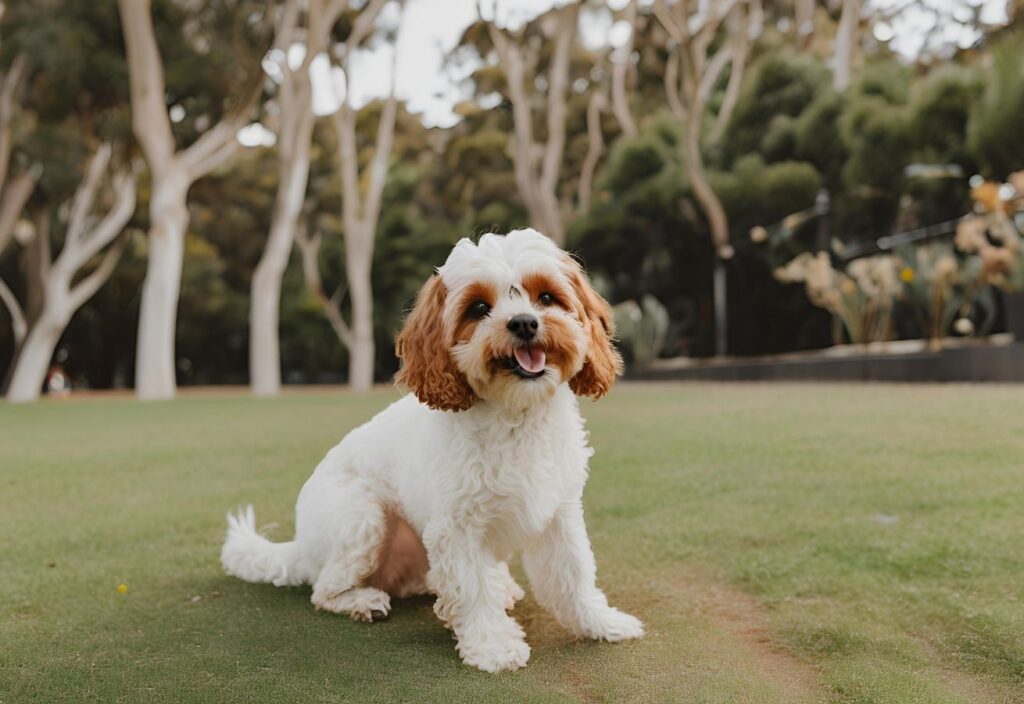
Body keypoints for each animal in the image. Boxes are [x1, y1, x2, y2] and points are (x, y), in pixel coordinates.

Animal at [221, 227, 643, 671]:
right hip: (363, 520)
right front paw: (493, 645)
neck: (516, 416)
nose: (525, 322)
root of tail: (300, 546)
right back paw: (362, 601)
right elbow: (472, 589)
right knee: (324, 589)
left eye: (546, 297)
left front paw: (601, 622)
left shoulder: (559, 513)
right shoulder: (456, 527)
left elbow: (575, 574)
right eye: (479, 308)